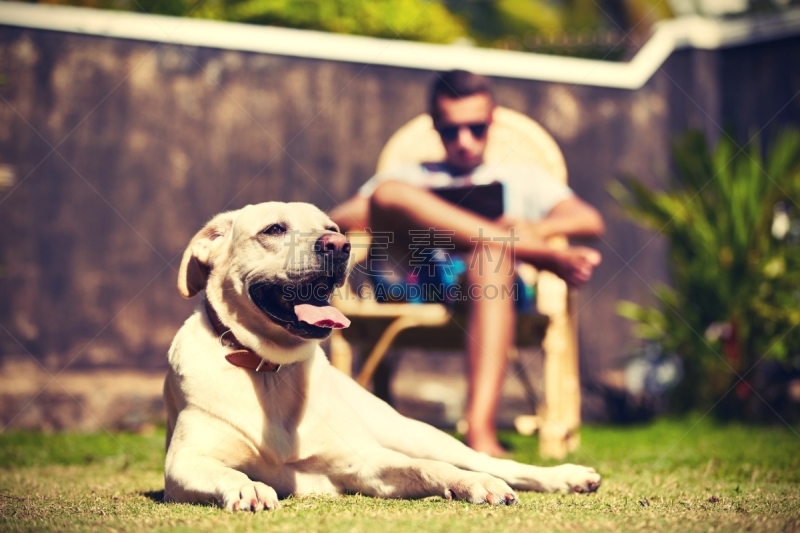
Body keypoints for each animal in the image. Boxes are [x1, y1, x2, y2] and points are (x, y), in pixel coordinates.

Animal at [164, 202, 600, 510]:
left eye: (332, 229)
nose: (338, 246)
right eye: (274, 229)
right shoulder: (183, 464)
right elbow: (228, 473)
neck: (271, 371)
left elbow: (432, 468)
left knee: (487, 462)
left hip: (417, 434)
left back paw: (566, 477)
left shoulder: (362, 462)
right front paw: (249, 488)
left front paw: (473, 483)